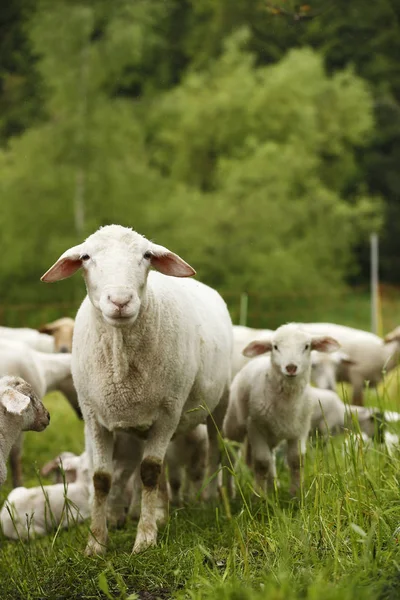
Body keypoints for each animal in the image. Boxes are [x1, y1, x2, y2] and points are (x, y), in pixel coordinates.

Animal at [40, 223, 231, 556]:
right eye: (86, 257)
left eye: (147, 255)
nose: (120, 301)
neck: (120, 358)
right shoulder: (95, 417)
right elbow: (102, 478)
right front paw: (96, 543)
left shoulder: (168, 411)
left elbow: (150, 472)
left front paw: (145, 540)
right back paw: (160, 513)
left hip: (218, 403)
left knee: (213, 450)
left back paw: (207, 500)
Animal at [223, 326, 340, 494]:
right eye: (275, 347)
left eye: (307, 346)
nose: (291, 367)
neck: (287, 403)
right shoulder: (255, 428)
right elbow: (261, 462)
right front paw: (259, 495)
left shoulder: (300, 430)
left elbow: (296, 460)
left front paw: (296, 493)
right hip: (234, 426)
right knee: (230, 456)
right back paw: (229, 491)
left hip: (272, 435)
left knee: (271, 458)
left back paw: (273, 487)